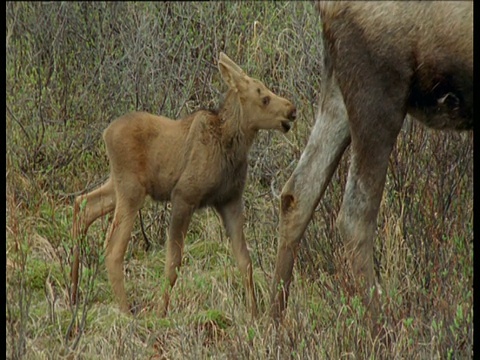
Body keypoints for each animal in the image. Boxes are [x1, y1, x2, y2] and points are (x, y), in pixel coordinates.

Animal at [71, 52, 296, 316]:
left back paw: (74, 291)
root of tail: (105, 133)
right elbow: (173, 262)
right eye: (264, 98)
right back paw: (125, 310)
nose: (292, 110)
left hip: (117, 184)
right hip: (131, 189)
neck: (232, 147)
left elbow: (245, 261)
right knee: (113, 247)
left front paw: (254, 313)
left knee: (83, 204)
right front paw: (161, 312)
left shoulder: (230, 200)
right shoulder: (184, 196)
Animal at [270, 1, 472, 322]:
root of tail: (321, 6)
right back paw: (384, 325)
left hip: (338, 85)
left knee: (298, 192)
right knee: (354, 215)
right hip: (379, 89)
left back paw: (272, 321)